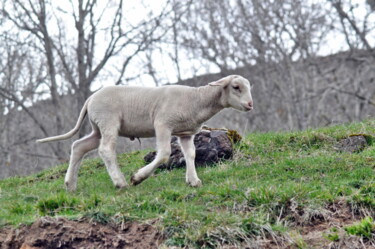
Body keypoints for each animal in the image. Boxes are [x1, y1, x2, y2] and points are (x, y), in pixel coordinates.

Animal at [36, 75, 254, 192]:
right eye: (236, 87)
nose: (250, 104)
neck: (196, 99)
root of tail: (91, 98)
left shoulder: (185, 133)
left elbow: (191, 155)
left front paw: (193, 181)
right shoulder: (162, 124)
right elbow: (164, 154)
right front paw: (138, 177)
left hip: (97, 128)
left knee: (79, 146)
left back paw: (70, 184)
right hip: (108, 122)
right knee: (106, 150)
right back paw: (121, 182)